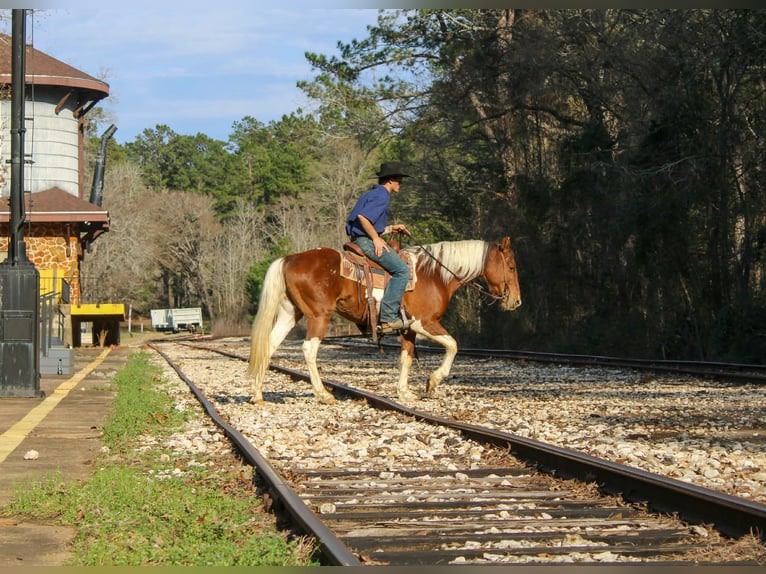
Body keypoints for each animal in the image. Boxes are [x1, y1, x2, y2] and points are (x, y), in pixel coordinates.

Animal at [247, 237, 521, 404]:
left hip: (289, 313)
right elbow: (453, 345)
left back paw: (258, 394)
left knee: (268, 346)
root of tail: (289, 259)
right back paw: (323, 394)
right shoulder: (424, 323)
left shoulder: (408, 329)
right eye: (511, 266)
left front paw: (405, 393)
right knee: (309, 349)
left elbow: (406, 358)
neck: (433, 275)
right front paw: (432, 381)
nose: (516, 301)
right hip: (319, 316)